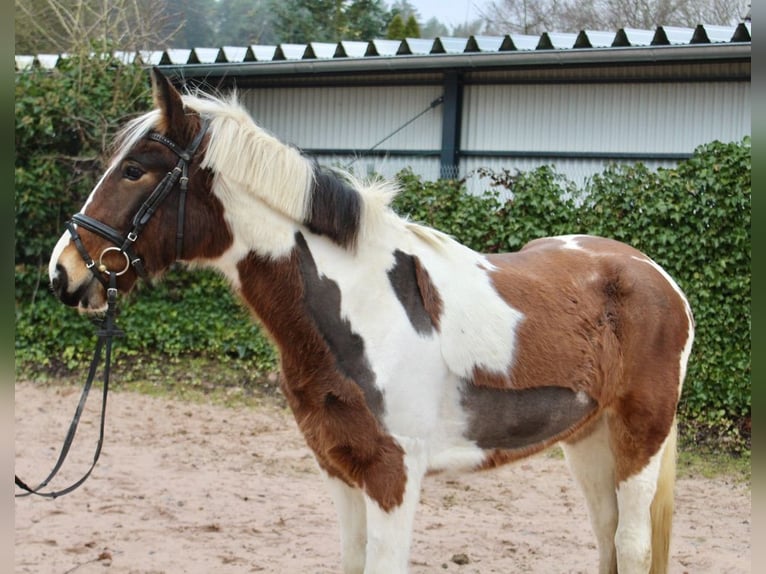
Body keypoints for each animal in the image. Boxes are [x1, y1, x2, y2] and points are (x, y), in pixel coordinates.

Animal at [48, 68, 696, 574]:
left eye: (135, 170)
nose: (64, 272)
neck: (364, 308)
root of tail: (655, 274)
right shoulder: (340, 468)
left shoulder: (393, 476)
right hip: (589, 441)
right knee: (608, 541)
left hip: (638, 439)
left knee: (632, 547)